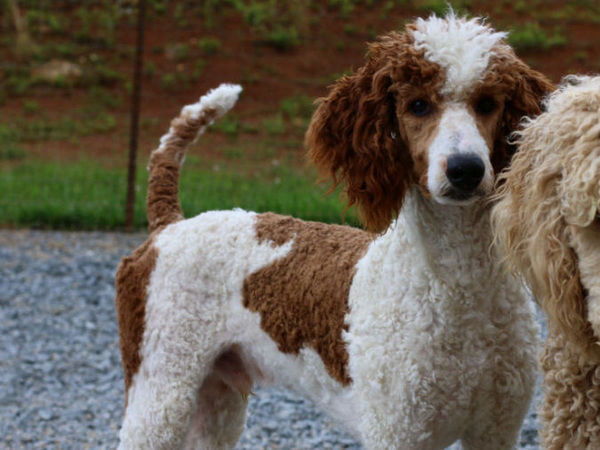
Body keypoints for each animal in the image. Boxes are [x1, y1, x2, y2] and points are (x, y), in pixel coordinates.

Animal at [113, 12, 552, 448]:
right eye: (418, 105)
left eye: (488, 103)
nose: (466, 169)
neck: (458, 288)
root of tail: (170, 224)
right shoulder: (396, 430)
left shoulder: (496, 428)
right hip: (161, 391)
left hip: (216, 400)